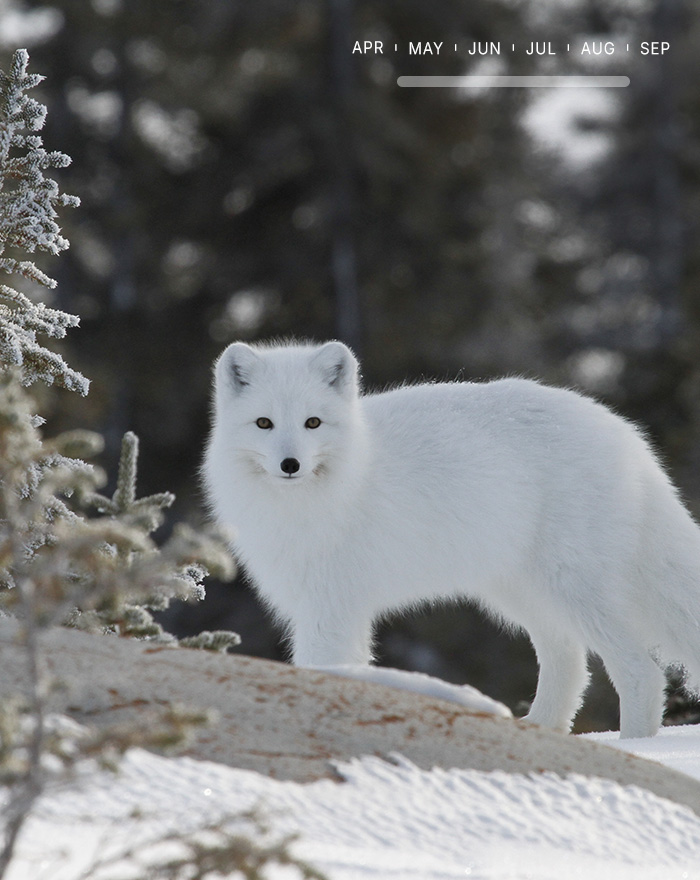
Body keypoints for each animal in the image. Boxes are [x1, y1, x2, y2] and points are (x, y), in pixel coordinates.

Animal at [202, 338, 700, 738]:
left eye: (313, 423)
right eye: (263, 423)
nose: (290, 465)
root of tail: (627, 435)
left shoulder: (331, 609)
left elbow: (324, 669)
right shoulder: (322, 607)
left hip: (574, 589)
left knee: (641, 672)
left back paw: (635, 745)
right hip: (522, 594)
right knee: (570, 664)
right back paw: (542, 730)